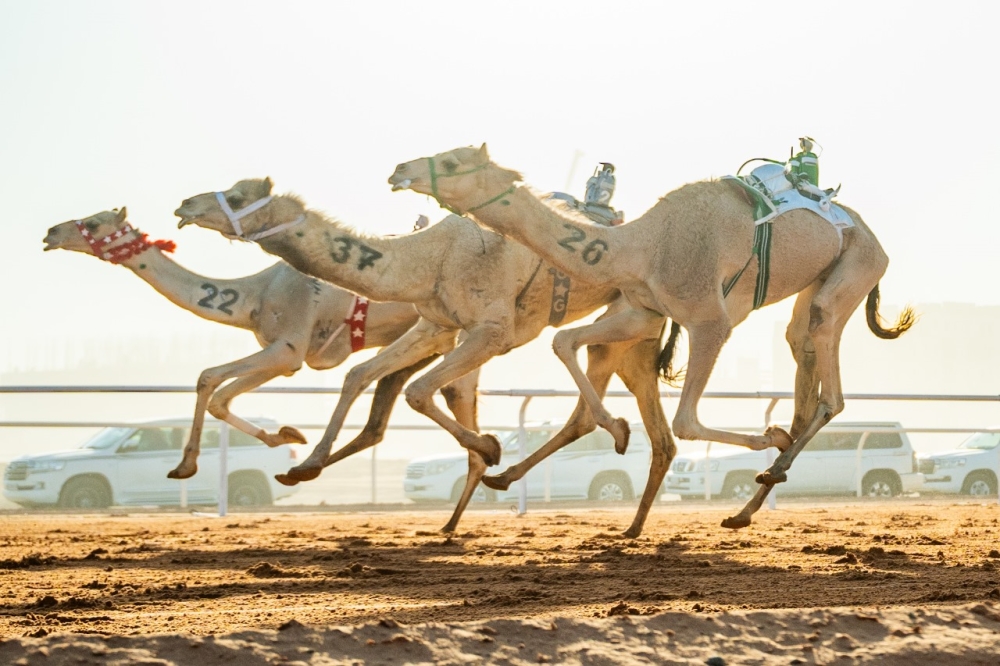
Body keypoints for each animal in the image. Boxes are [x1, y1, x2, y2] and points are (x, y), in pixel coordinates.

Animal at [176, 180, 680, 536]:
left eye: (237, 194)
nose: (184, 206)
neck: (431, 256)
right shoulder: (435, 325)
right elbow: (359, 373)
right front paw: (304, 465)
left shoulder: (494, 331)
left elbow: (418, 391)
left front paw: (490, 446)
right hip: (636, 334)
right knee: (657, 431)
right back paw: (628, 525)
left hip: (632, 314)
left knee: (583, 367)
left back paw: (604, 442)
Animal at [388, 145, 916, 528]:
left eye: (452, 161)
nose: (399, 169)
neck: (642, 247)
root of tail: (868, 232)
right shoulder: (644, 312)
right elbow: (564, 342)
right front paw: (618, 429)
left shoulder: (708, 320)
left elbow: (685, 421)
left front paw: (764, 436)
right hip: (819, 279)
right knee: (799, 345)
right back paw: (747, 505)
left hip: (858, 264)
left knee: (830, 382)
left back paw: (772, 458)